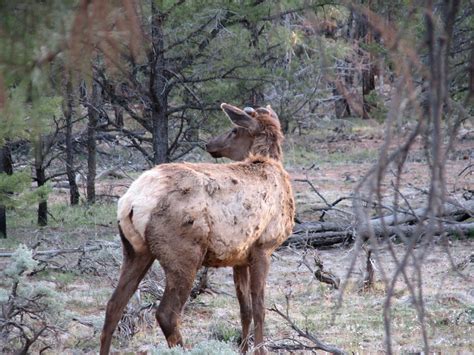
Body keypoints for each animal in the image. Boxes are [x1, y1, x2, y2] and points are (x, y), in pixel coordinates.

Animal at [100, 103, 294, 355]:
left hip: (135, 251)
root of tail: (131, 202)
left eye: (233, 131)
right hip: (184, 254)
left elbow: (245, 309)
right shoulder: (264, 247)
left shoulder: (240, 256)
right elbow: (260, 308)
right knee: (167, 314)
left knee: (114, 305)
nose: (209, 144)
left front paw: (243, 348)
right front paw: (259, 350)